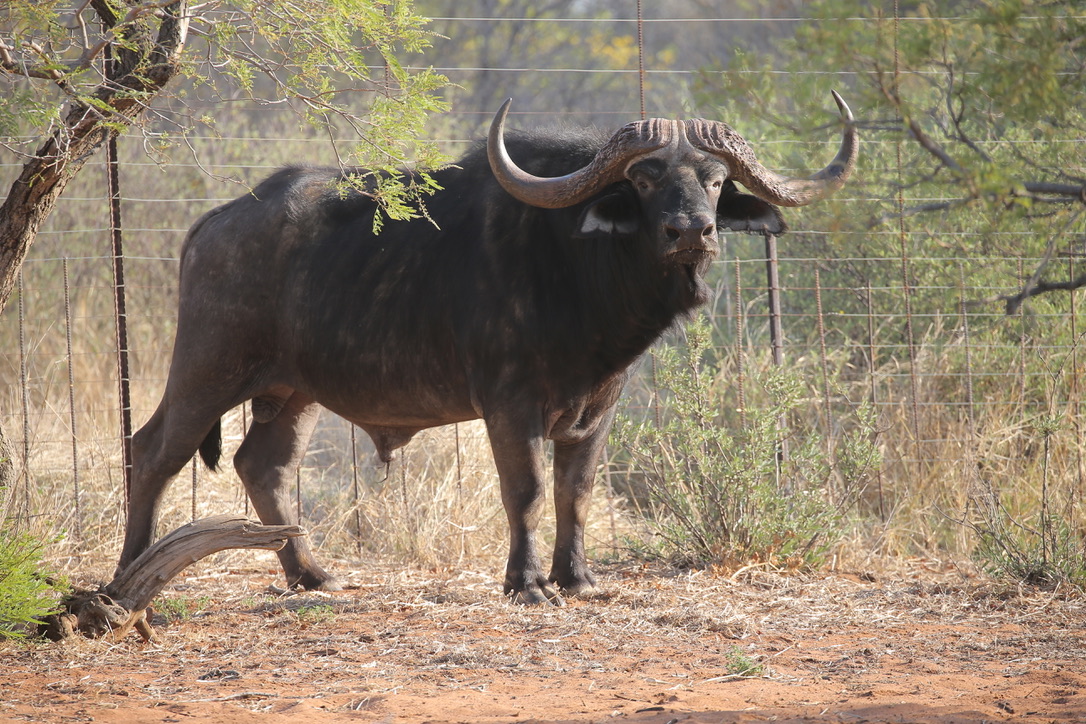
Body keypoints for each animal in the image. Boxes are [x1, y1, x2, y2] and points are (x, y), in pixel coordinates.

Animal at [118, 96, 857, 604]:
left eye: (713, 177)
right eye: (646, 178)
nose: (691, 231)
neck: (576, 267)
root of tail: (213, 223)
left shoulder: (599, 407)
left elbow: (576, 491)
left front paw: (577, 578)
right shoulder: (510, 405)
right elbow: (525, 490)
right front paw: (526, 583)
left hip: (292, 392)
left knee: (262, 465)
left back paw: (313, 573)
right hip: (207, 370)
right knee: (150, 451)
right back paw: (128, 574)